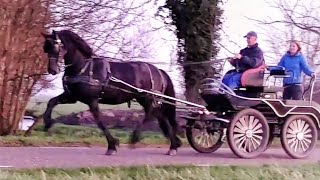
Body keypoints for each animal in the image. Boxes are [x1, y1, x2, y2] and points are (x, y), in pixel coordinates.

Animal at [41, 29, 181, 155]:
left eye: (55, 47)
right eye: (46, 49)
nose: (52, 70)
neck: (83, 68)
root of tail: (159, 70)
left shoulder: (92, 100)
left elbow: (99, 121)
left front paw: (112, 146)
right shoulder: (72, 97)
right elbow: (51, 102)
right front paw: (47, 123)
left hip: (147, 97)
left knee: (151, 114)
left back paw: (135, 138)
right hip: (144, 98)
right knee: (160, 116)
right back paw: (173, 145)